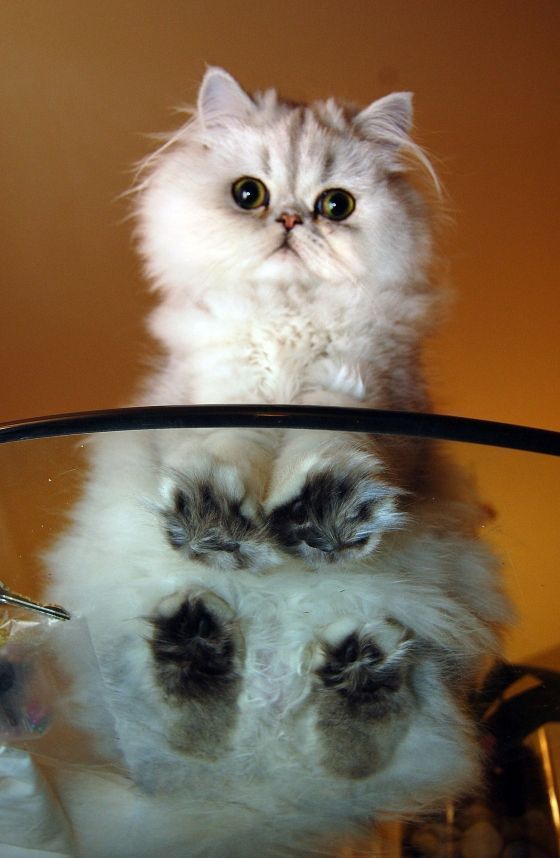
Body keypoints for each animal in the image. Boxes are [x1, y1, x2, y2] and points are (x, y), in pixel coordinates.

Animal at [43, 68, 512, 856]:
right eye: (249, 195)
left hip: (428, 675)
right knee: (192, 737)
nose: (292, 222)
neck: (285, 329)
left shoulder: (363, 400)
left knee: (355, 751)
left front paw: (321, 516)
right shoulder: (216, 402)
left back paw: (352, 661)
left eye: (336, 205)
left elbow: (336, 455)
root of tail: (264, 795)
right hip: (128, 688)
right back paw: (199, 630)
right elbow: (225, 455)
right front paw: (223, 522)